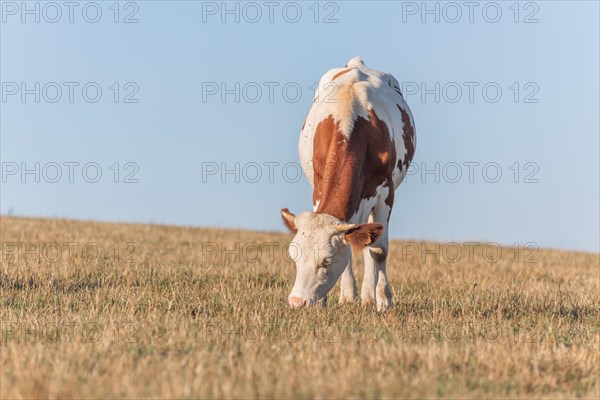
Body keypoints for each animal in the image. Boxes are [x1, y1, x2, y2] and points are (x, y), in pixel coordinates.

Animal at [280, 57, 412, 312]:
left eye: (326, 261)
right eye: (294, 257)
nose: (296, 302)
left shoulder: (386, 193)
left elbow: (378, 250)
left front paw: (383, 301)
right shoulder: (318, 190)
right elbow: (351, 249)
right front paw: (340, 297)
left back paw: (369, 296)